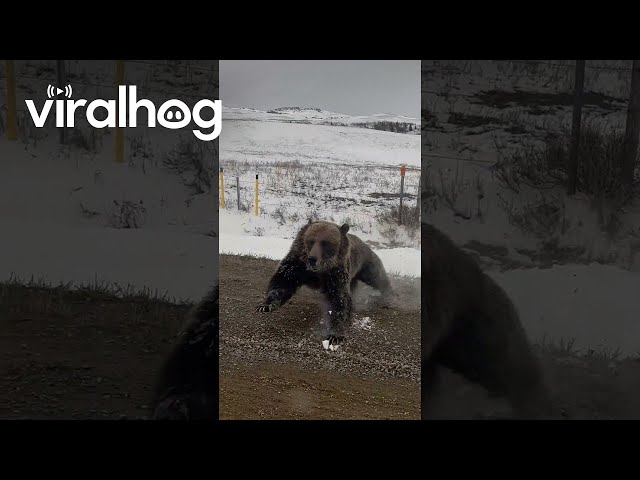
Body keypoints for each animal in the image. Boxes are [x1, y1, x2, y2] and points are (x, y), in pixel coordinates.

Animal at [256, 219, 393, 350]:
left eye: (326, 243)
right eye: (311, 240)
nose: (312, 258)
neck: (319, 272)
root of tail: (364, 242)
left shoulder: (336, 272)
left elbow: (340, 299)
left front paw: (335, 335)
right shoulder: (298, 264)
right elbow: (282, 281)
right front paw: (265, 305)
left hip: (365, 263)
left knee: (377, 278)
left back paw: (388, 294)